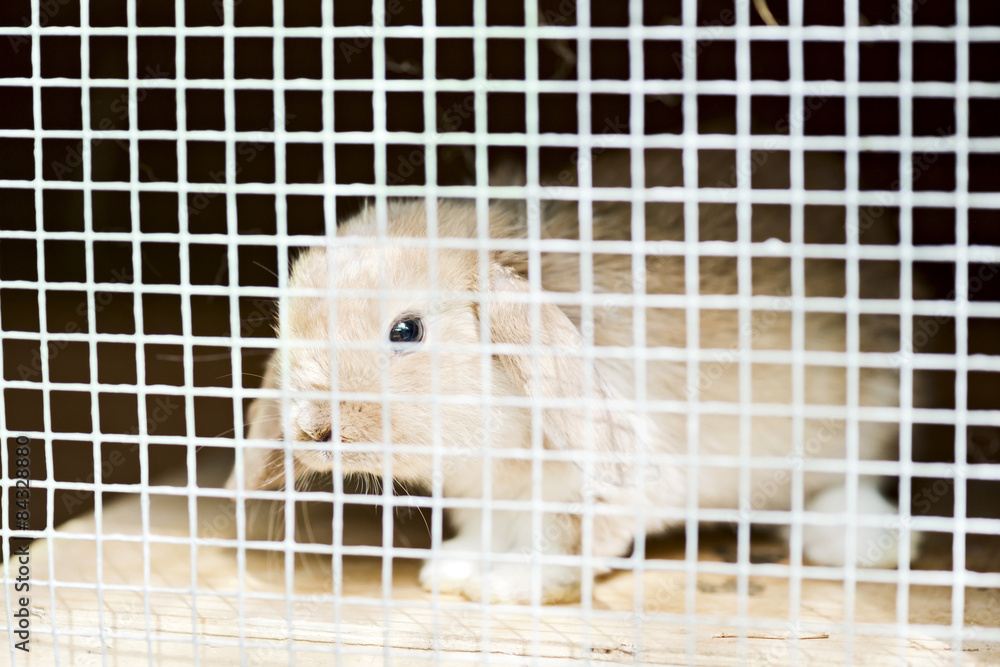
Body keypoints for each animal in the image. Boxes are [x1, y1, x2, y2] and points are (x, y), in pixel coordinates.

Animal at [226, 149, 922, 604]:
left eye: (406, 331)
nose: (313, 427)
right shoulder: (489, 499)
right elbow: (487, 533)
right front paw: (452, 571)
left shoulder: (600, 492)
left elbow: (563, 546)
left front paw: (503, 587)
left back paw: (872, 543)